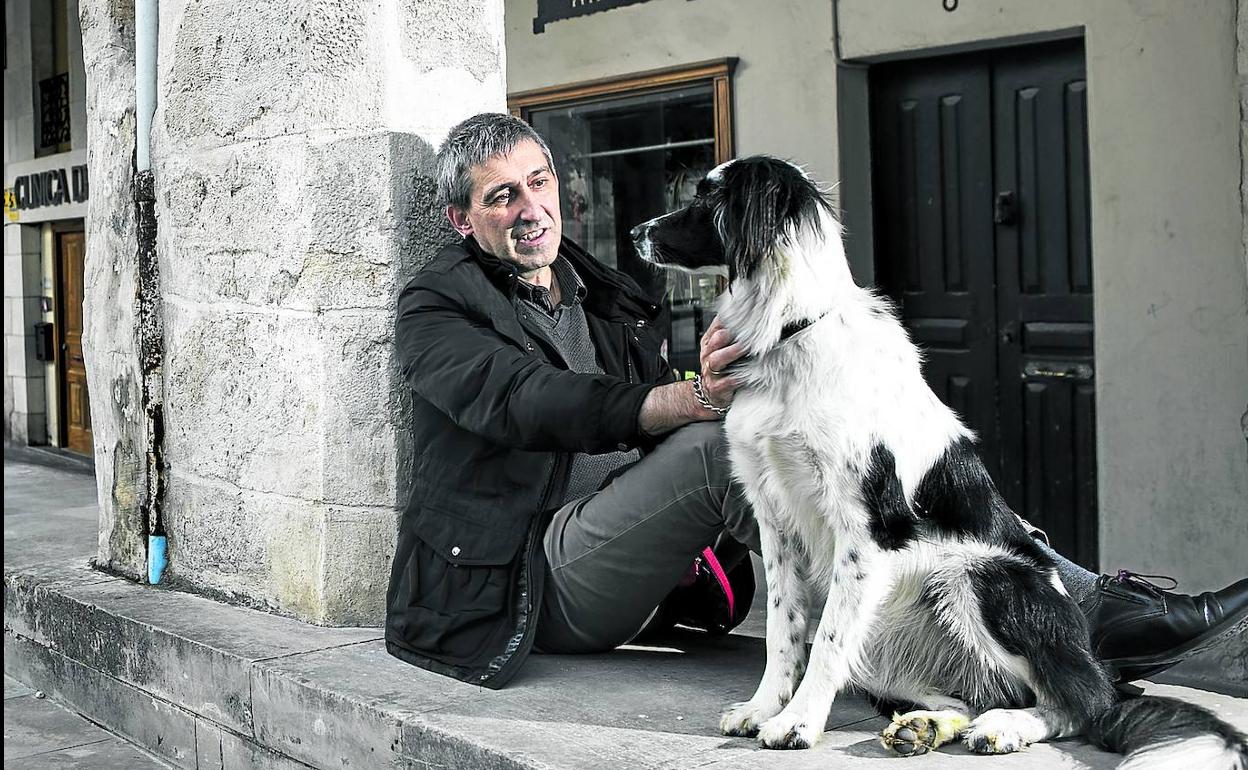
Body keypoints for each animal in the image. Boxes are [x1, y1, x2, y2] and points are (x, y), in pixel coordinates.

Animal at [633, 157, 1248, 768]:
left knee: (1080, 703)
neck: (791, 334)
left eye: (707, 200)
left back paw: (1008, 728)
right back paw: (925, 726)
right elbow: (782, 627)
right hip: (893, 641)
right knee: (974, 694)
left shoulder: (867, 531)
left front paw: (797, 723)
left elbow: (826, 640)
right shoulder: (775, 515)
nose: (636, 232)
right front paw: (764, 708)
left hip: (980, 576)